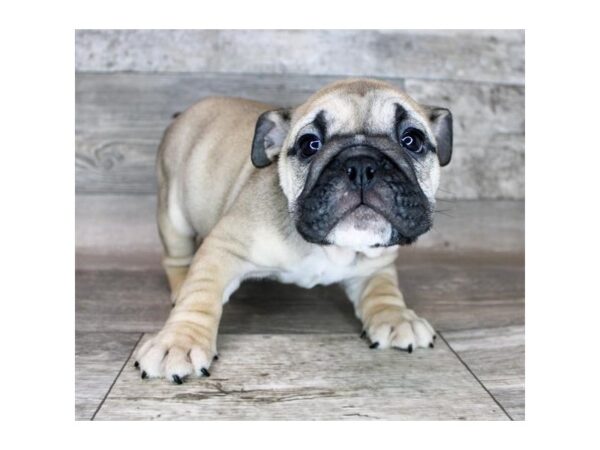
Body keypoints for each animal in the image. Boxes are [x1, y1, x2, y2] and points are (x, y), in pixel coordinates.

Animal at [134, 77, 452, 384]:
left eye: (412, 140)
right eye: (310, 144)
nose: (361, 165)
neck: (330, 248)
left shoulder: (376, 263)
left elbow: (384, 290)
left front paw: (397, 317)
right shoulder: (224, 247)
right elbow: (200, 294)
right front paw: (179, 341)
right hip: (173, 213)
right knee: (177, 259)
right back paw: (180, 287)